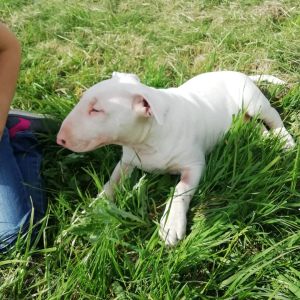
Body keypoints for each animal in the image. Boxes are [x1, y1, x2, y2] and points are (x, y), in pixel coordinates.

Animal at [56, 71, 296, 246]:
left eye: (96, 110)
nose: (60, 139)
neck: (148, 139)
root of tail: (240, 72)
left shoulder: (195, 165)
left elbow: (181, 189)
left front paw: (171, 225)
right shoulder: (126, 162)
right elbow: (110, 185)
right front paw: (85, 216)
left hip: (254, 102)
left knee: (273, 117)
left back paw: (285, 141)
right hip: (244, 119)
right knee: (256, 127)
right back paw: (267, 139)